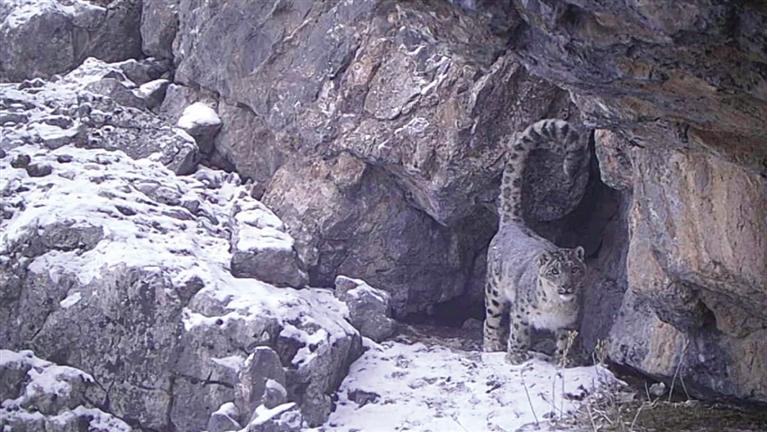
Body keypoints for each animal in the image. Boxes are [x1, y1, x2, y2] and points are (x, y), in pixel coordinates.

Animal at [486, 119, 588, 364]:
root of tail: (513, 223)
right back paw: (491, 344)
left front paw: (565, 360)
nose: (566, 287)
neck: (556, 306)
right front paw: (515, 356)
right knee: (490, 317)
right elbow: (519, 332)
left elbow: (566, 341)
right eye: (554, 271)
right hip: (494, 289)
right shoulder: (520, 312)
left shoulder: (571, 322)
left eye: (574, 270)